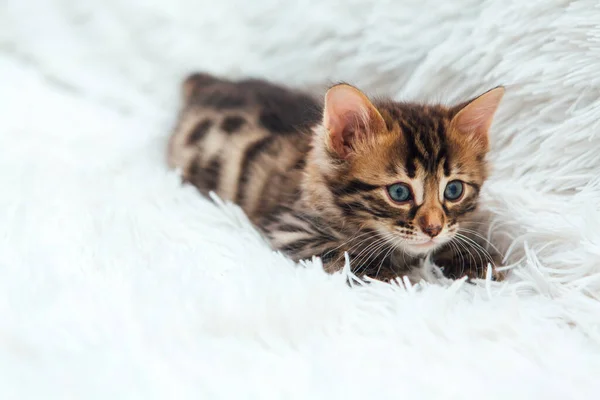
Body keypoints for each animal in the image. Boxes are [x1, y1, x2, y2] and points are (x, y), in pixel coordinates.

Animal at [170, 73, 506, 282]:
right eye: (399, 193)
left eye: (453, 190)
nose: (434, 229)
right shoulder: (290, 231)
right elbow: (345, 254)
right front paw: (401, 278)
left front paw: (480, 263)